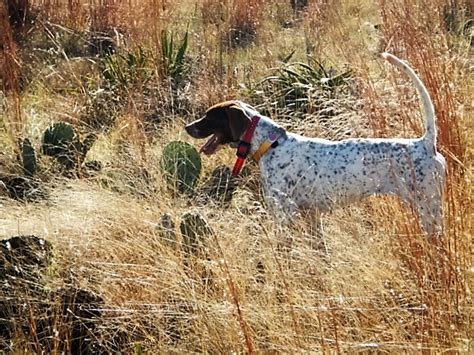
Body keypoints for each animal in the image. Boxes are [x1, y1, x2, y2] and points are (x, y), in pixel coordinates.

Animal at [186, 53, 448, 236]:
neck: (271, 144)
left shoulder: (285, 213)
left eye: (209, 116)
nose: (187, 126)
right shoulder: (311, 216)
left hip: (428, 208)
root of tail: (425, 143)